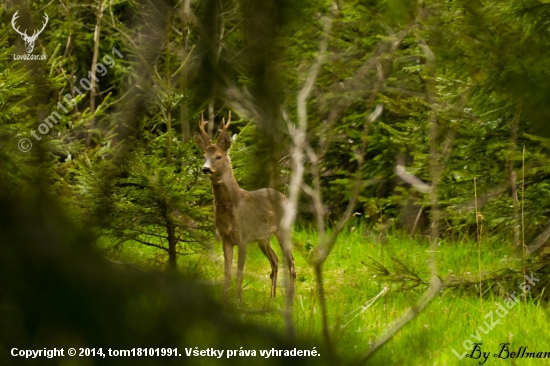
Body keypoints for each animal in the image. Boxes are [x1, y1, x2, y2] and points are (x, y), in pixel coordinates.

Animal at [195, 113, 298, 302]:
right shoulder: (226, 238)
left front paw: (238, 301)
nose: (205, 169)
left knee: (291, 262)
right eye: (203, 155)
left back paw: (291, 299)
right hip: (263, 238)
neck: (234, 206)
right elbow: (227, 272)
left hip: (283, 229)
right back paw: (272, 298)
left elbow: (240, 272)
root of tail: (286, 198)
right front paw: (225, 299)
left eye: (219, 156)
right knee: (275, 260)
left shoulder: (243, 237)